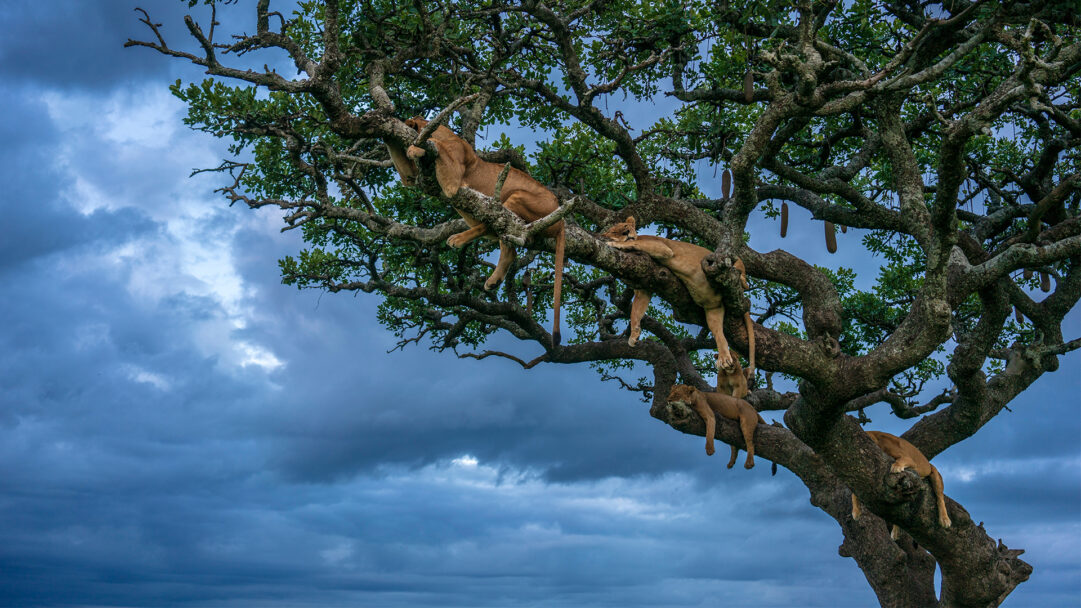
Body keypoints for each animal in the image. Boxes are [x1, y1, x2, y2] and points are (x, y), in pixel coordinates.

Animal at [397, 117, 566, 345]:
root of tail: (561, 217)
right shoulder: (419, 176)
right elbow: (408, 176)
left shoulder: (453, 181)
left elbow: (437, 146)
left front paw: (417, 146)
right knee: (508, 247)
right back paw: (493, 281)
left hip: (515, 197)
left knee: (497, 228)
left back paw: (459, 239)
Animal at [600, 216, 754, 380]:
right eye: (614, 231)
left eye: (626, 226)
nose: (626, 232)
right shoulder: (644, 288)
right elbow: (635, 312)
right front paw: (634, 335)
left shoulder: (662, 247)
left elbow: (634, 243)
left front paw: (615, 244)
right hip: (713, 310)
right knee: (719, 333)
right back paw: (725, 359)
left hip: (732, 264)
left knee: (742, 277)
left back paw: (741, 280)